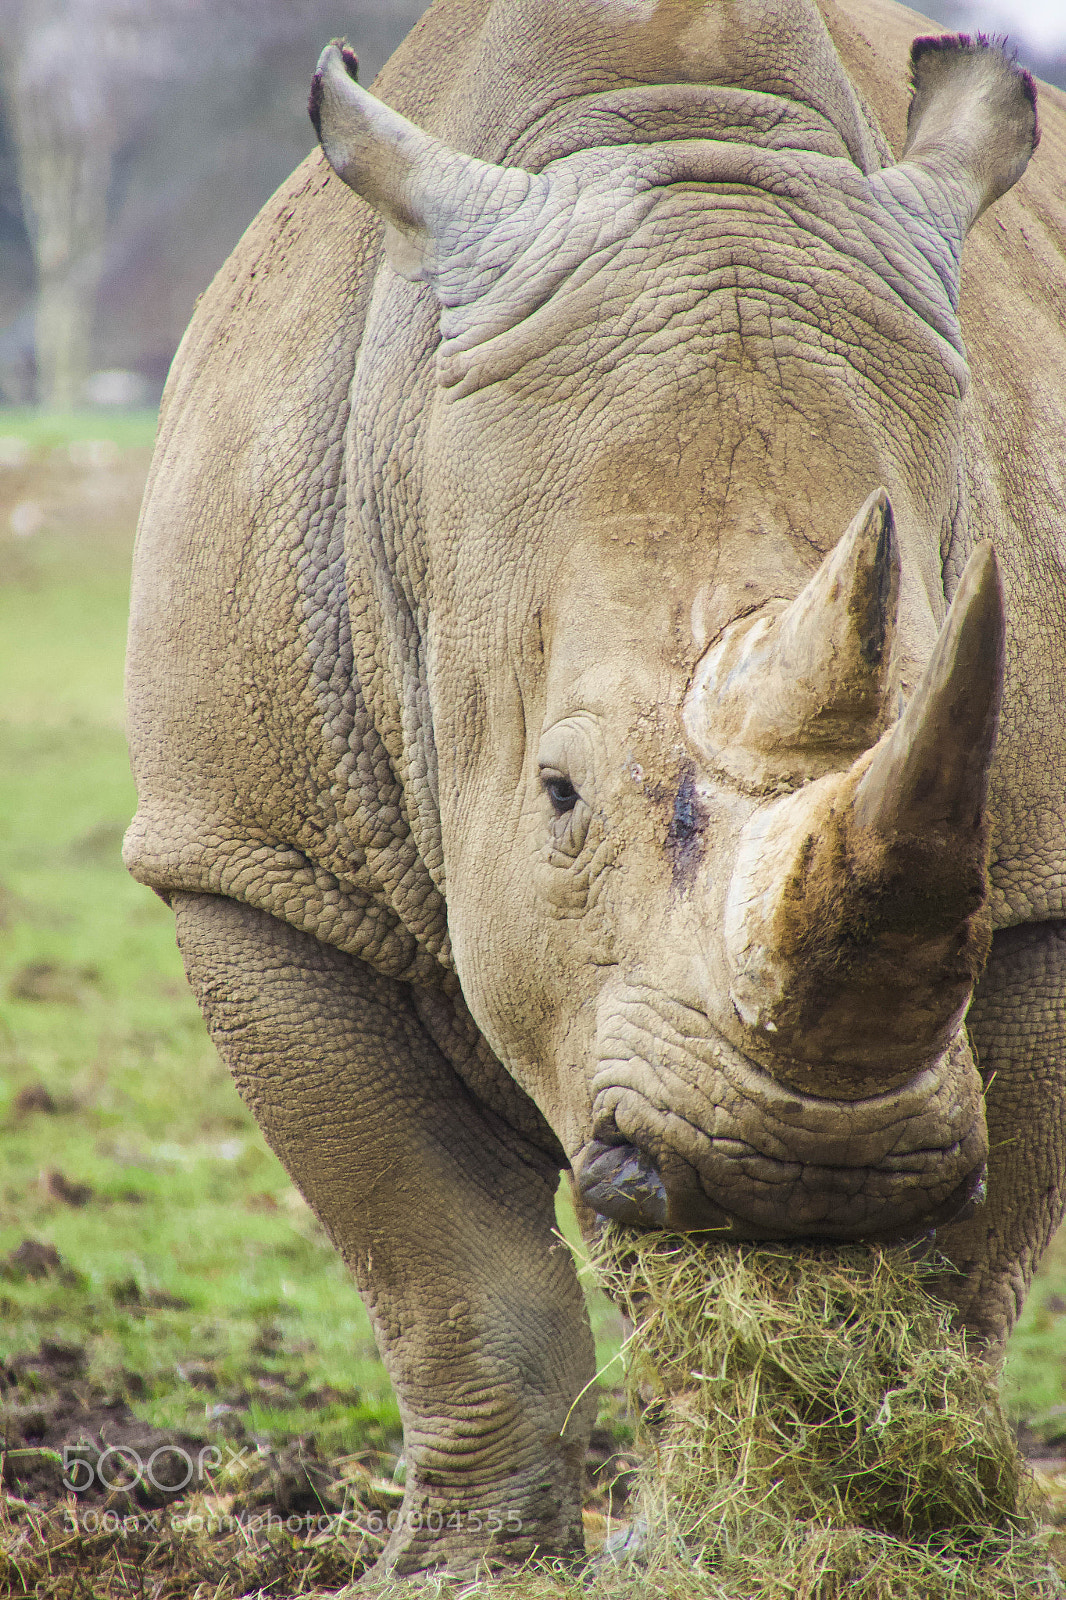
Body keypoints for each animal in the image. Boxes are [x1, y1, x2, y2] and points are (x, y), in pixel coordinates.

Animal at [125, 0, 1066, 1577]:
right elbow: (449, 1271)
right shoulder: (254, 862)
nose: (810, 1171)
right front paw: (465, 1577)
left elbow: (969, 1261)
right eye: (557, 794)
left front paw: (859, 1511)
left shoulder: (1044, 883)